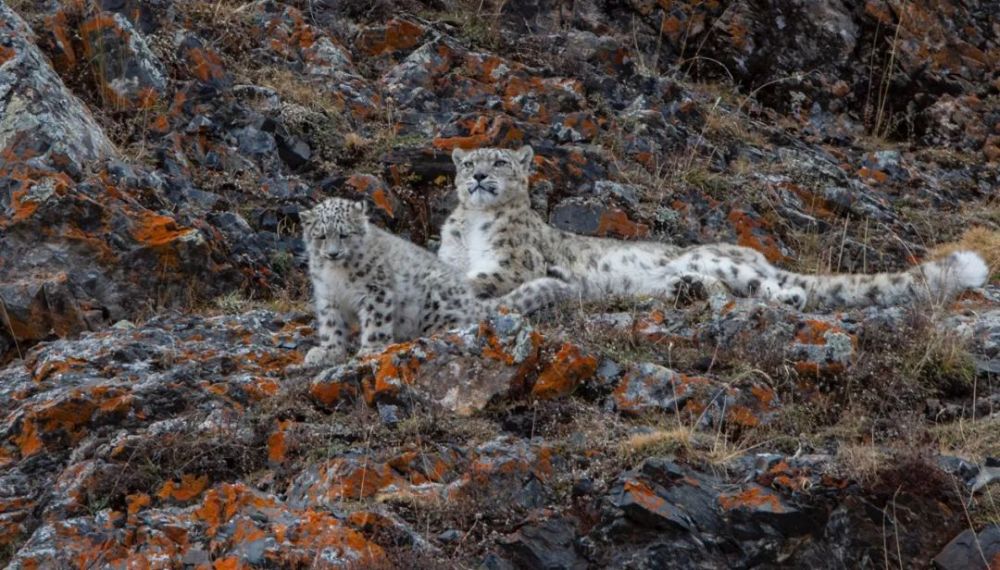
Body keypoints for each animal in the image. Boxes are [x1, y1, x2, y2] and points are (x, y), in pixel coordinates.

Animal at [300, 196, 576, 364]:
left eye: (344, 234)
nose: (332, 253)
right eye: (321, 236)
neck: (337, 275)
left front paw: (369, 351)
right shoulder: (327, 296)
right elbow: (331, 326)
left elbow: (375, 323)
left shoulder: (376, 291)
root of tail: (471, 299)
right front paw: (326, 352)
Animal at [440, 144, 992, 308]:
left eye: (501, 161)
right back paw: (685, 289)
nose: (480, 177)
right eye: (469, 164)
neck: (473, 226)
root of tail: (755, 251)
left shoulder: (513, 262)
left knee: (768, 287)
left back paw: (787, 296)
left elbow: (481, 277)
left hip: (718, 258)